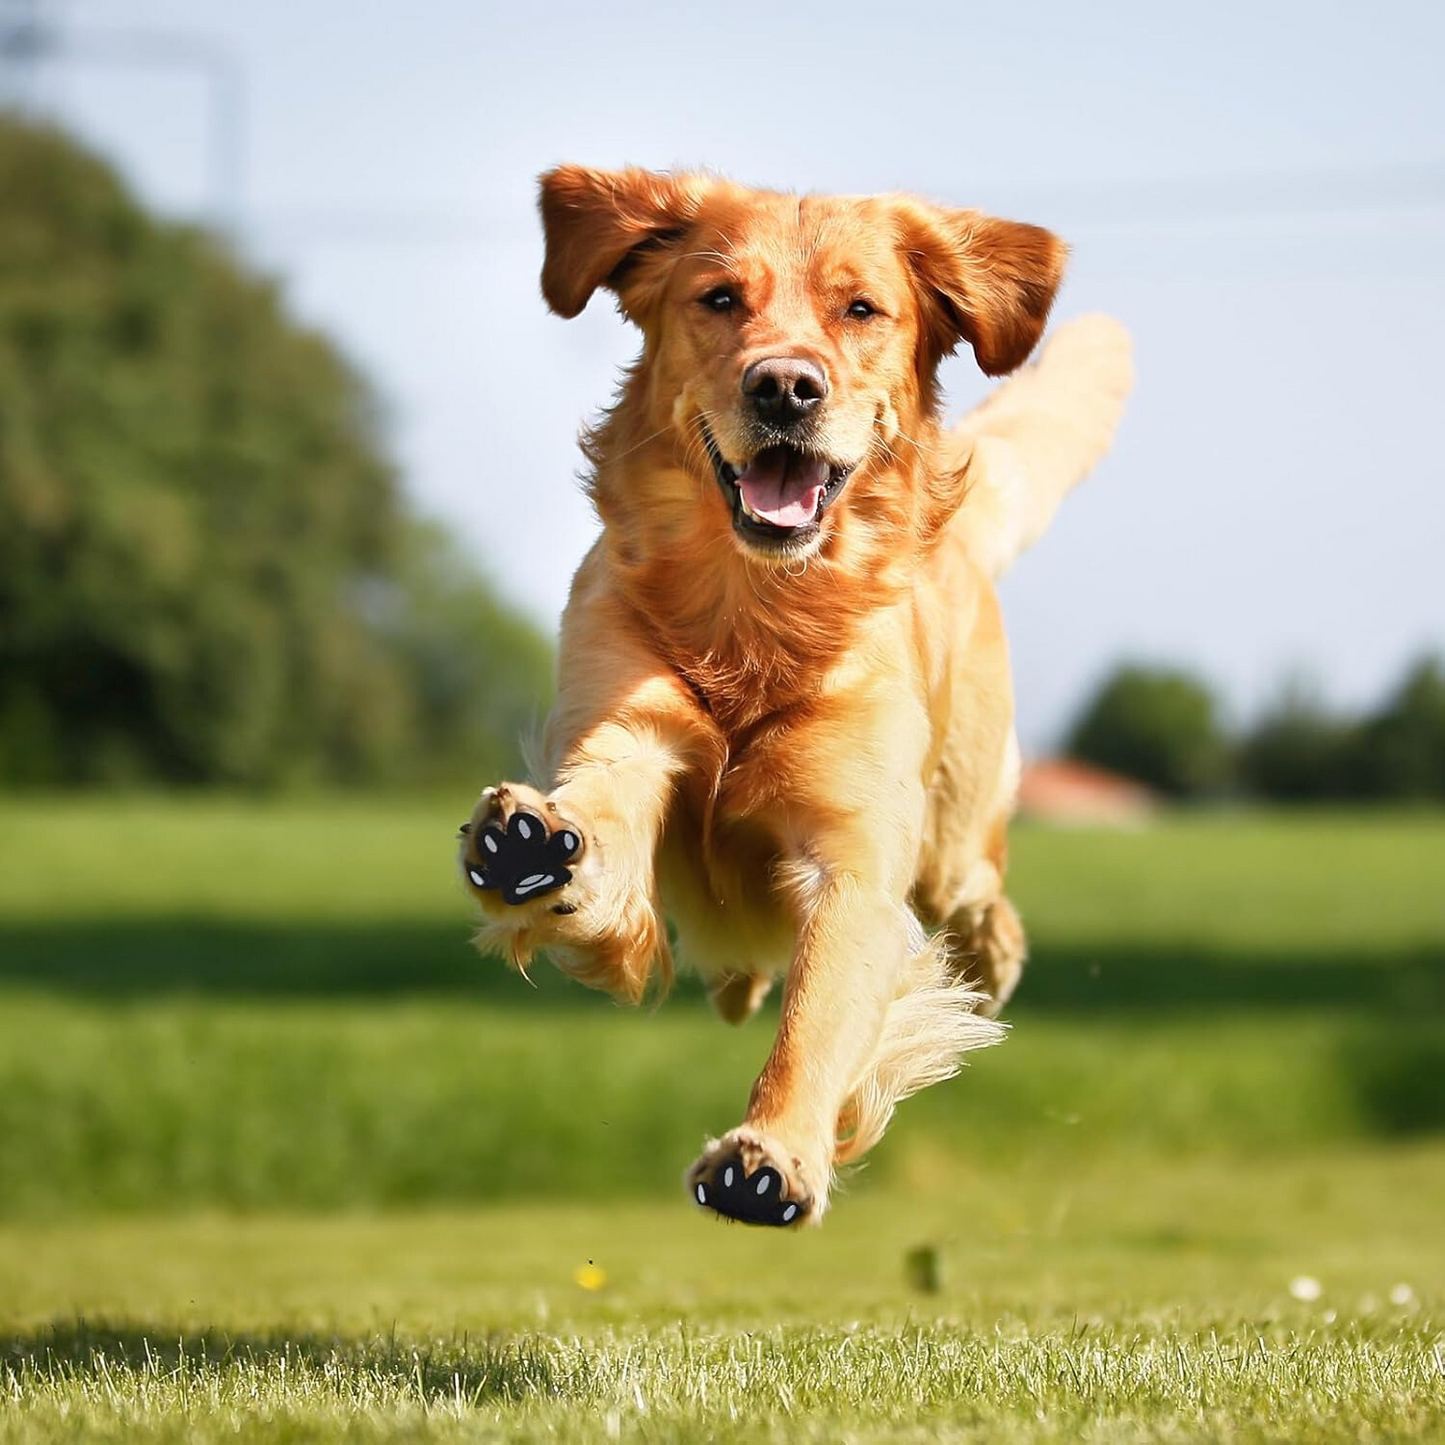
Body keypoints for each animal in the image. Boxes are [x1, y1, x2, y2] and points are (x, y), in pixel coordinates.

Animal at [456, 169, 1132, 1231]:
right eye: (720, 298)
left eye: (861, 309)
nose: (783, 386)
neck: (758, 612)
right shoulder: (630, 725)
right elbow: (602, 804)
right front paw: (532, 848)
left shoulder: (854, 859)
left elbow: (816, 1023)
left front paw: (770, 1151)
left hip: (953, 832)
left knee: (981, 890)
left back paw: (988, 960)